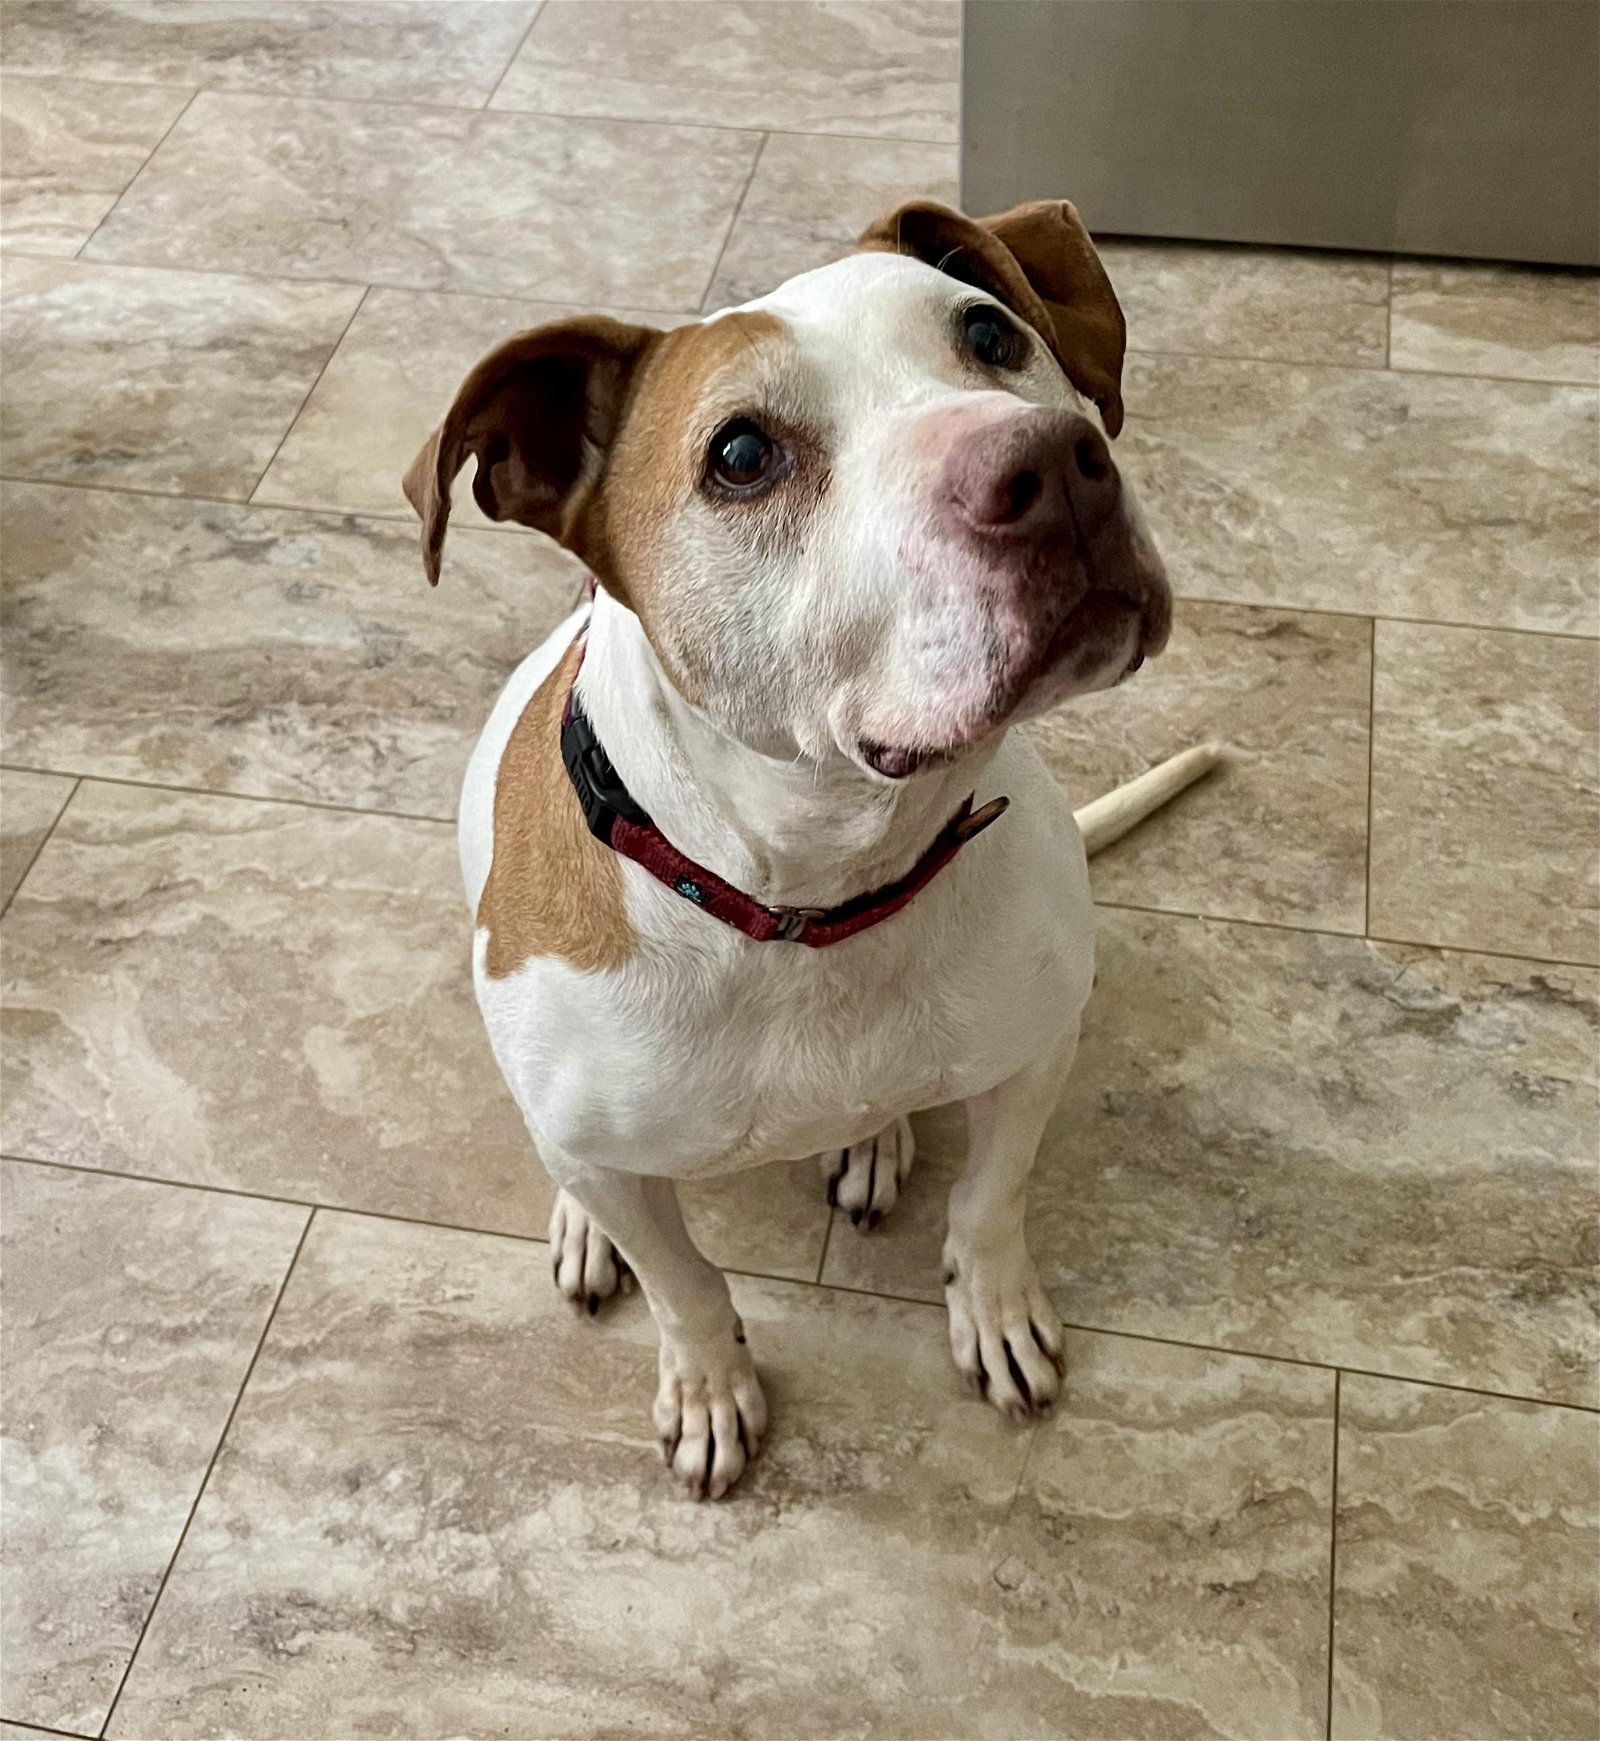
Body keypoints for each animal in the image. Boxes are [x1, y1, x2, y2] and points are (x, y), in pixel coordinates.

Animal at [407, 194, 1204, 1497]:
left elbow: (991, 1201)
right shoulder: (618, 1156)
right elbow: (683, 1281)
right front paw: (710, 1385)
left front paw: (991, 1308)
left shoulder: (1035, 1049)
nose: (1050, 466)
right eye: (740, 456)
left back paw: (874, 1138)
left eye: (988, 334)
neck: (813, 895)